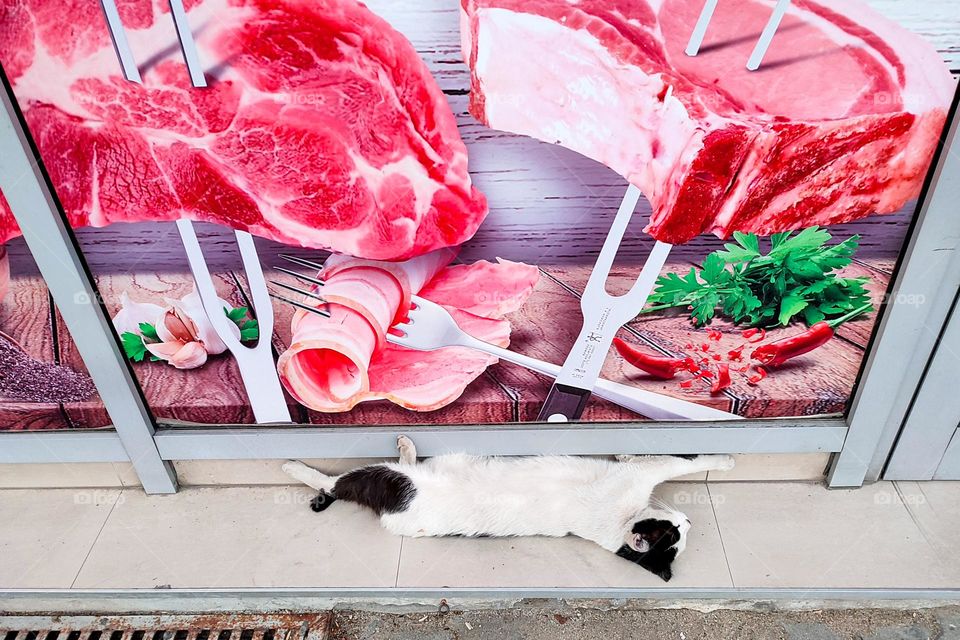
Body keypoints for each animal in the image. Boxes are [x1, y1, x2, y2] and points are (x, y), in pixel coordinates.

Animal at [284, 438, 736, 584]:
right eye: (676, 531)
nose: (690, 519)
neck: (617, 528)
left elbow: (673, 459)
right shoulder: (641, 473)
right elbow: (680, 460)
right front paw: (726, 459)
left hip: (393, 484)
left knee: (340, 484)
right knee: (335, 483)